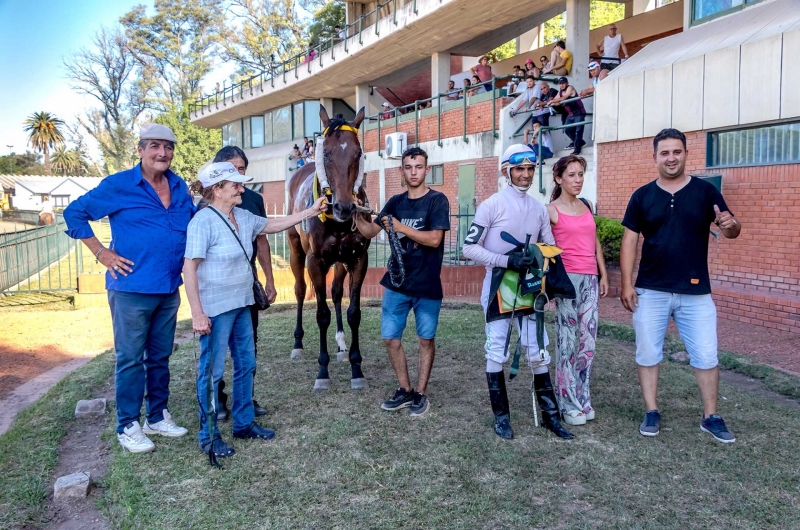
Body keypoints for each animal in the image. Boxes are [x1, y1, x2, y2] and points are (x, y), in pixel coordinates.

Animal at [286, 105, 370, 390]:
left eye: (358, 152)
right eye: (326, 153)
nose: (345, 207)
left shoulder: (358, 259)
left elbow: (354, 311)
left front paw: (356, 366)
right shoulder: (316, 261)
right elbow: (322, 313)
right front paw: (322, 371)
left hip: (340, 260)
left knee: (335, 293)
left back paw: (342, 347)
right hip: (296, 250)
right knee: (300, 290)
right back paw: (298, 343)